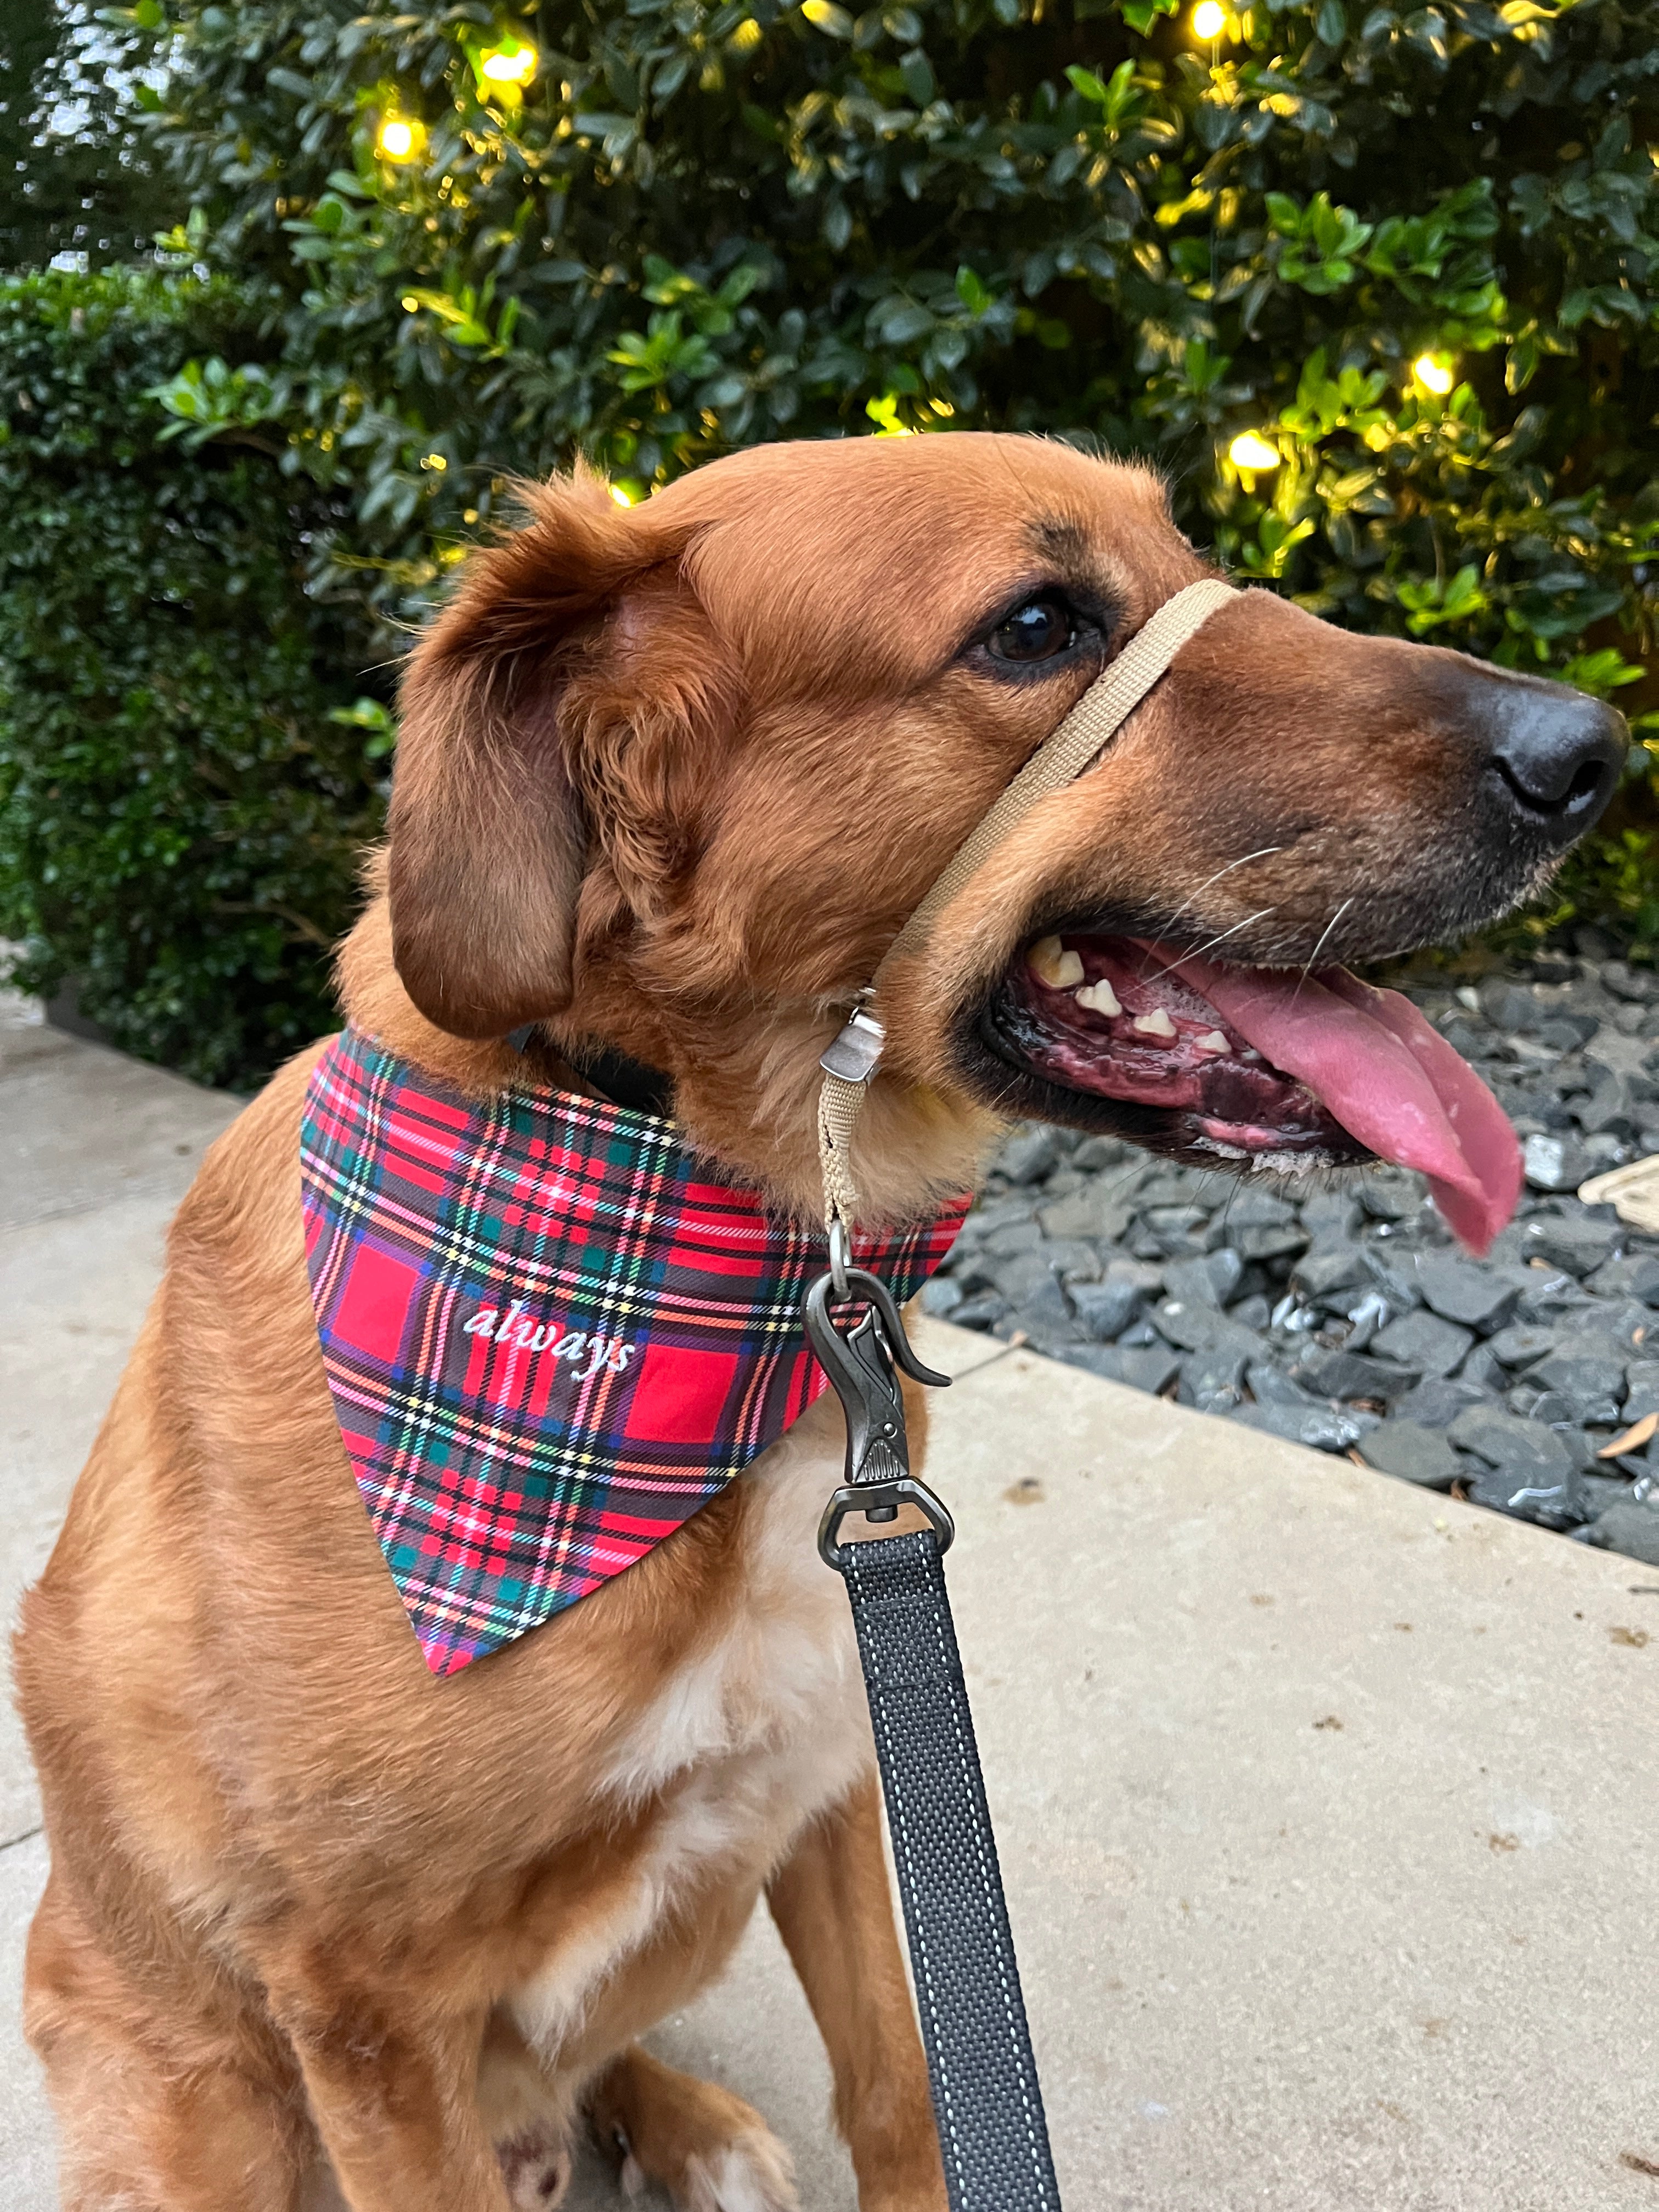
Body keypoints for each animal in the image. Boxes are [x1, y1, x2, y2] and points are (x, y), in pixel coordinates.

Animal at [13, 436, 1628, 2212]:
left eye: (1188, 554)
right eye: (1037, 624)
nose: (1595, 749)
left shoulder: (845, 1773)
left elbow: (907, 2093)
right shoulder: (365, 2005)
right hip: (211, 2104)